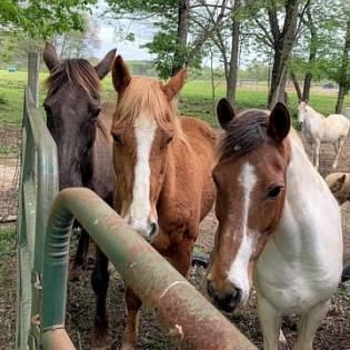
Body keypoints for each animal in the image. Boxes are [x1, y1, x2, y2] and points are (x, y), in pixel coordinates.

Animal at [206, 98, 344, 350]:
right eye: (216, 179)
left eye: (275, 189)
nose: (224, 291)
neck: (299, 255)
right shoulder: (268, 308)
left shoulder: (318, 310)